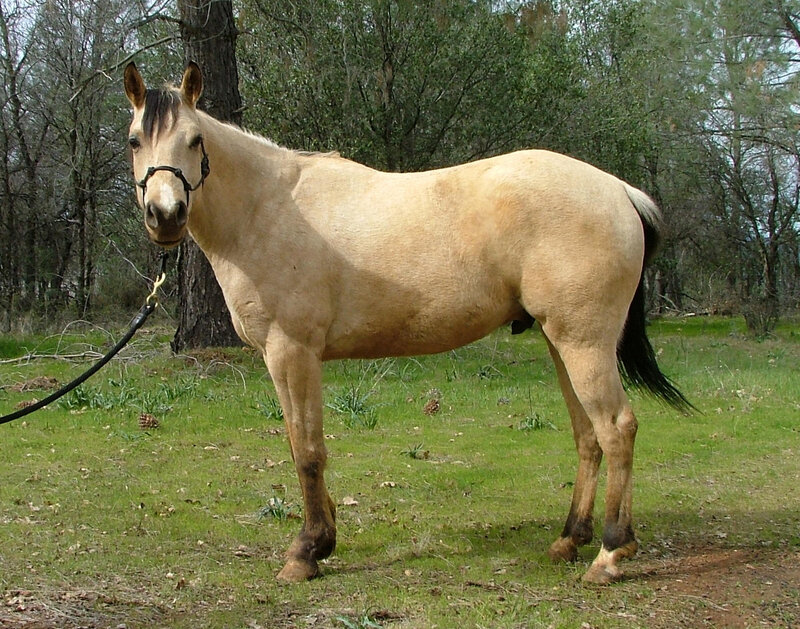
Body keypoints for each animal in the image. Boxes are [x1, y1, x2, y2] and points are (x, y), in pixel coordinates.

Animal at [123, 62, 690, 585]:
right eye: (134, 141)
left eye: (195, 140)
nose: (165, 215)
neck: (269, 209)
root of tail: (619, 191)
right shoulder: (283, 357)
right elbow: (298, 444)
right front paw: (324, 538)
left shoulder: (292, 352)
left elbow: (308, 451)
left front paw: (306, 552)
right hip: (562, 342)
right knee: (588, 435)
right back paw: (570, 539)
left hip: (584, 343)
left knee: (617, 429)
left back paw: (611, 553)